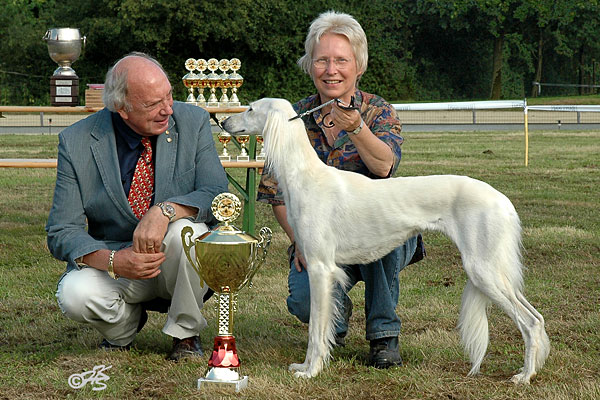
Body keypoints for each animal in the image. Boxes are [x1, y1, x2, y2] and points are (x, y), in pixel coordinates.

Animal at [223, 97, 552, 384]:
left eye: (250, 109)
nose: (223, 121)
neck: (305, 176)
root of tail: (503, 201)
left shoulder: (320, 268)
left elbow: (316, 329)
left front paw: (311, 371)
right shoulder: (325, 270)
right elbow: (322, 325)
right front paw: (305, 367)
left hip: (483, 270)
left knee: (530, 321)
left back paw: (524, 376)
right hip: (493, 270)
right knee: (537, 316)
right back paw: (531, 370)